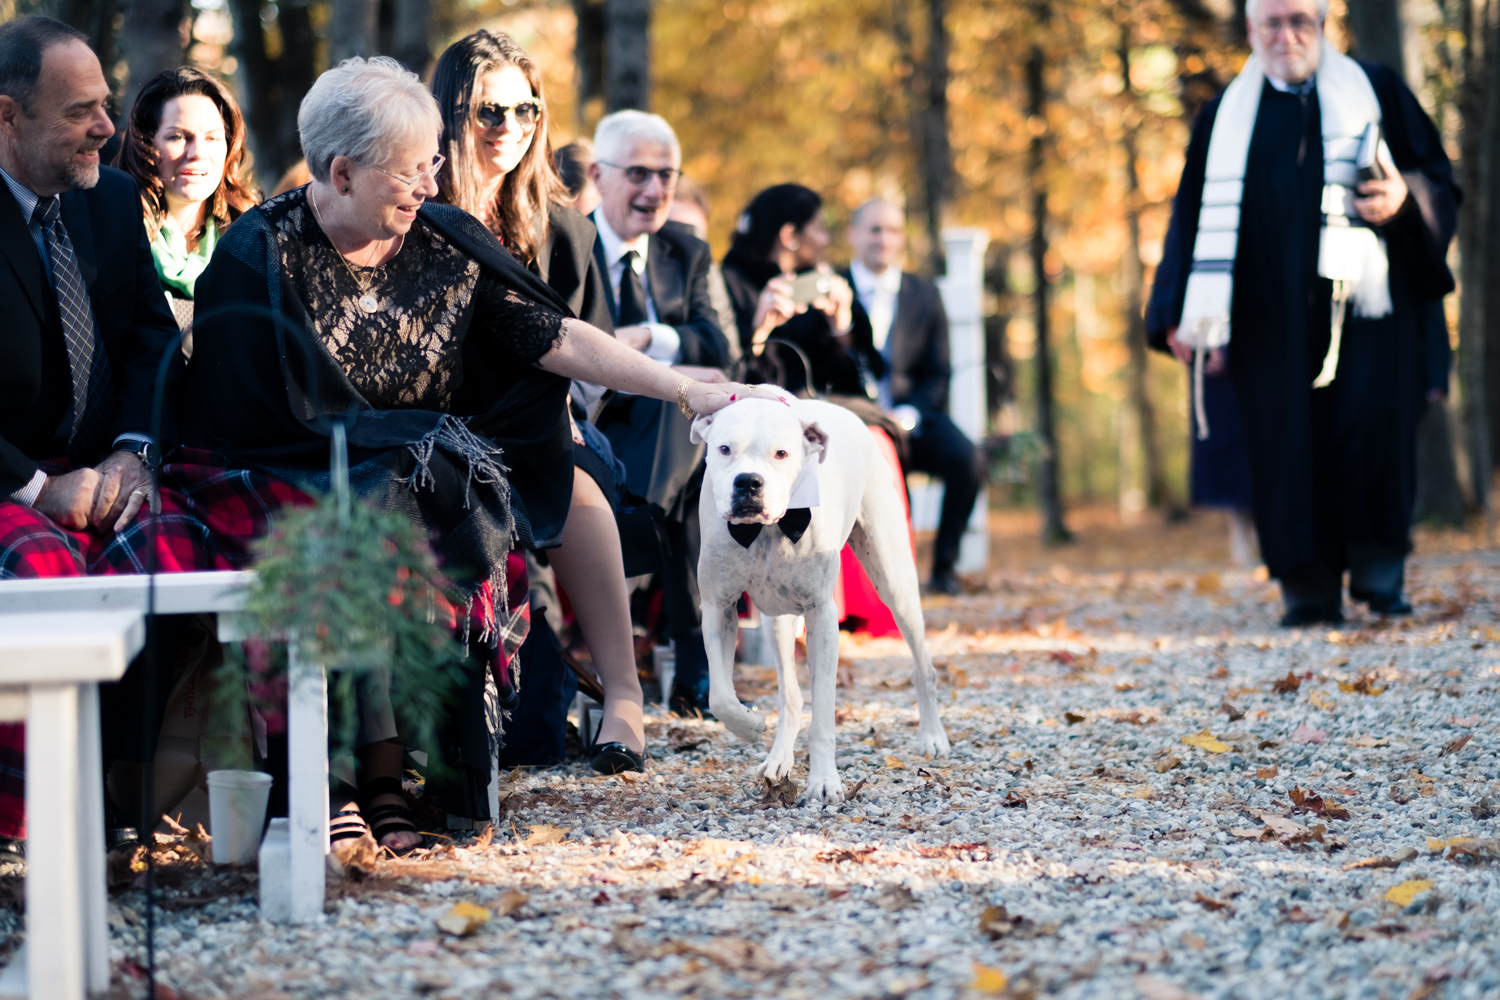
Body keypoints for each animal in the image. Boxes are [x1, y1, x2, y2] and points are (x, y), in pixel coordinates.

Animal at [690, 395, 948, 803]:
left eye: (781, 453)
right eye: (724, 449)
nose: (748, 482)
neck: (767, 530)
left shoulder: (822, 616)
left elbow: (824, 711)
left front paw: (824, 780)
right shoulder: (717, 607)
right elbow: (720, 696)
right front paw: (749, 725)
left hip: (896, 584)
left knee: (924, 666)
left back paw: (933, 736)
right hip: (776, 620)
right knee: (790, 696)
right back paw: (778, 759)